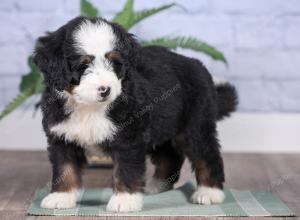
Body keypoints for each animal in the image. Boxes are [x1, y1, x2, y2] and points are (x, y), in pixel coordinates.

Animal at [34, 16, 238, 213]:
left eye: (114, 63)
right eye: (82, 66)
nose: (105, 90)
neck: (90, 107)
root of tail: (197, 64)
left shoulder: (128, 138)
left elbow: (126, 169)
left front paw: (124, 201)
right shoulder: (62, 136)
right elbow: (64, 169)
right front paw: (61, 197)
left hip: (195, 126)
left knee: (206, 155)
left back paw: (209, 192)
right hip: (162, 126)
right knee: (169, 156)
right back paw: (157, 185)